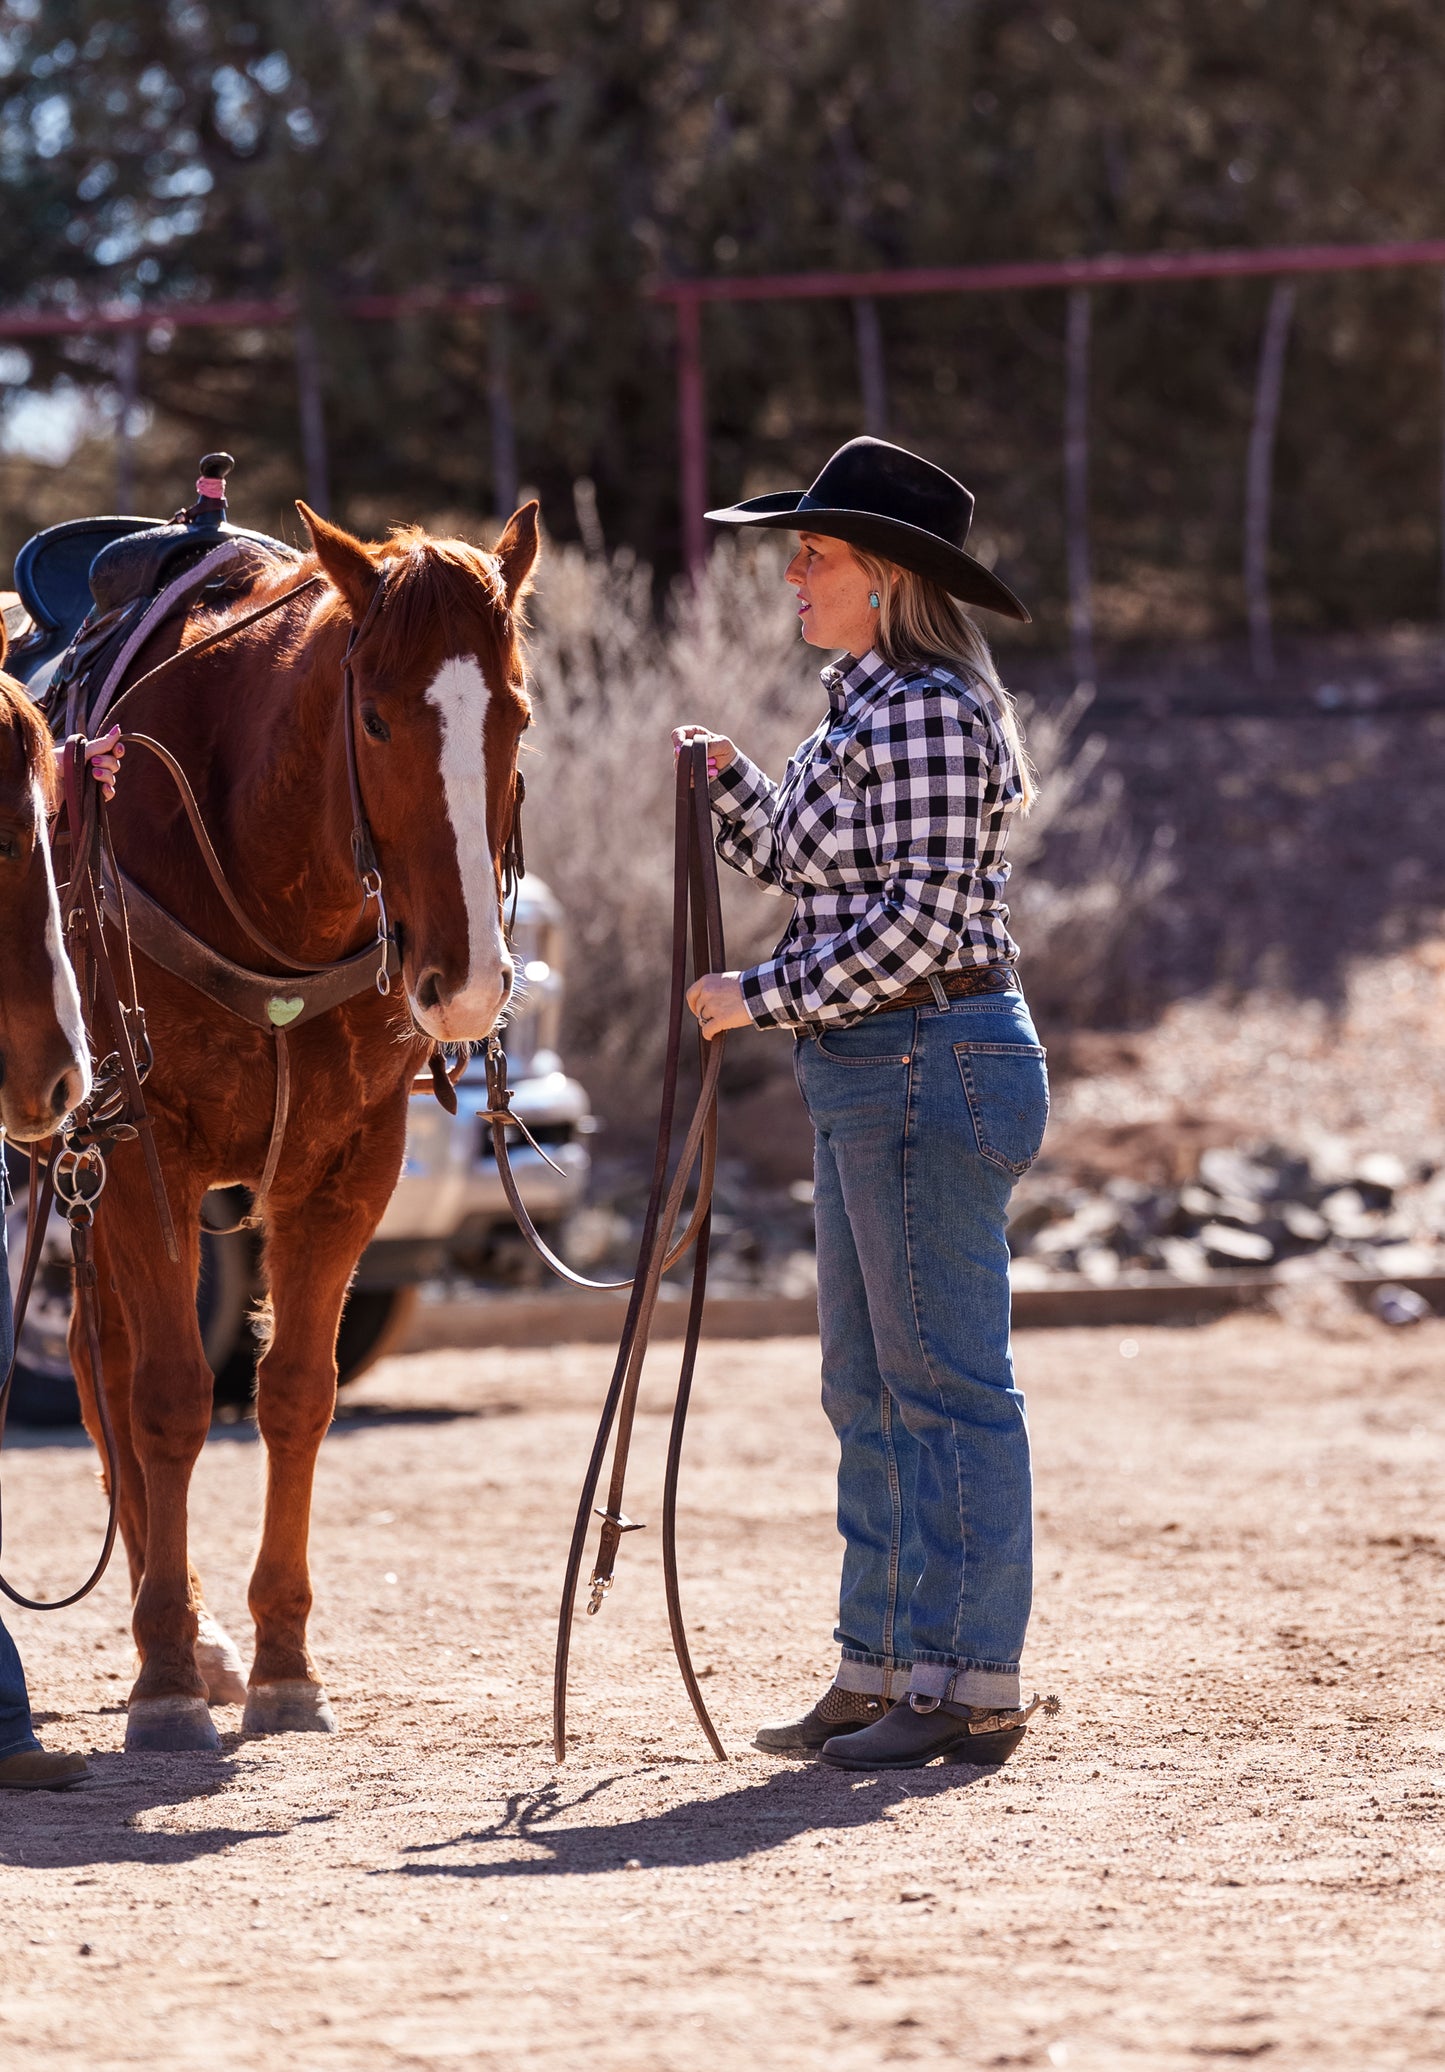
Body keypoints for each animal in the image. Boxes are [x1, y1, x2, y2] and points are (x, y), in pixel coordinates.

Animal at [70, 501, 539, 1748]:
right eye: (372, 715)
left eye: (516, 713)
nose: (468, 983)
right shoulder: (141, 1145)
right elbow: (172, 1398)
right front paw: (165, 1676)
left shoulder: (348, 1166)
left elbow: (294, 1393)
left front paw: (281, 1657)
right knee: (109, 1376)